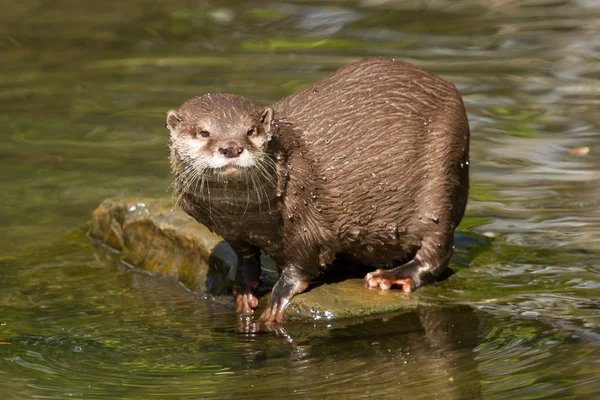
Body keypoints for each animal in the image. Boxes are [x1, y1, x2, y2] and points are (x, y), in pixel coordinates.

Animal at [166, 57, 472, 324]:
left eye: (250, 131)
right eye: (203, 132)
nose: (231, 147)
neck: (244, 215)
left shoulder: (305, 215)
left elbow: (303, 263)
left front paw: (279, 297)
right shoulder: (232, 232)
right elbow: (246, 257)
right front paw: (242, 288)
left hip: (442, 175)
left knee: (438, 250)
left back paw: (391, 276)